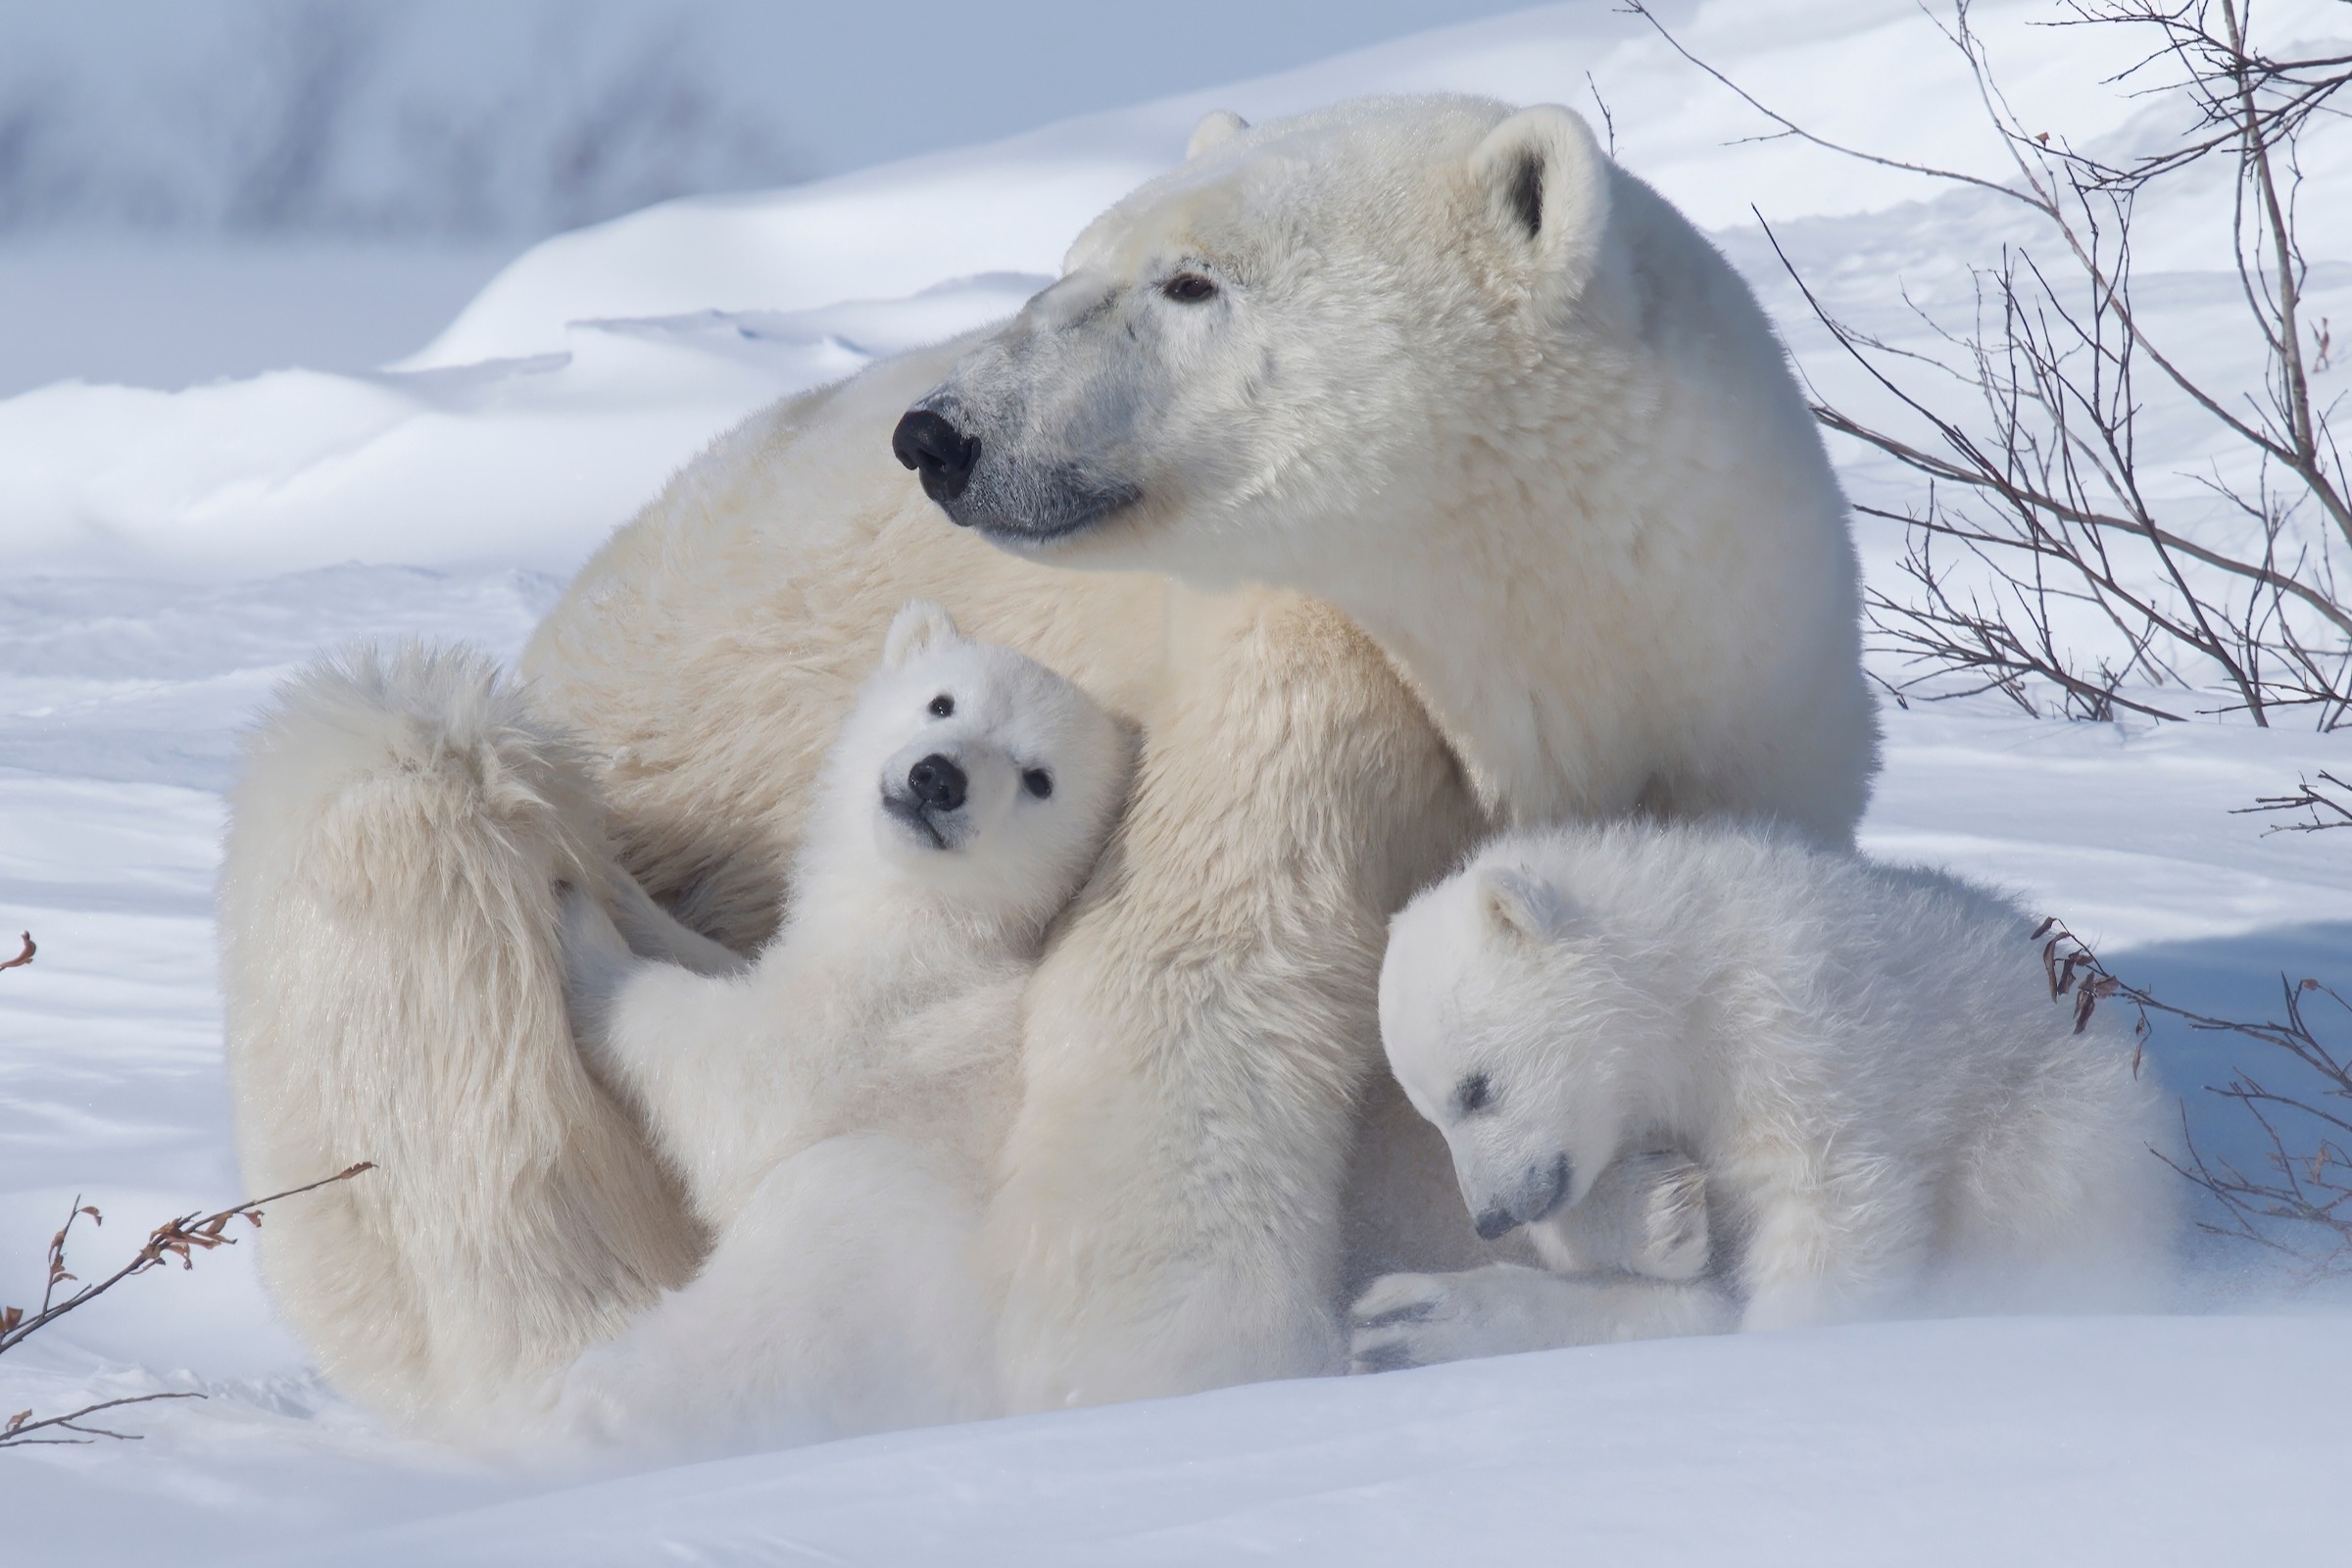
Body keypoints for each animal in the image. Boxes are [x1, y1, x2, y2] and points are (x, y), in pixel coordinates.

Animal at [536, 601, 1134, 1453]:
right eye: (943, 702)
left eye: (1039, 778)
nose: (938, 778)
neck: (930, 916)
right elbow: (732, 967)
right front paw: (620, 887)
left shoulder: (889, 1014)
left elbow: (747, 1083)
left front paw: (580, 922)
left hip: (874, 1249)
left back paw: (588, 1403)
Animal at [1346, 822, 2178, 1374]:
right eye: (1428, 1113)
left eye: (1475, 1088)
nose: (1491, 1216)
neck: (1692, 977)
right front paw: (1661, 1212)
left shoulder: (1797, 1037)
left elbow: (1835, 1206)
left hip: (2039, 1131)